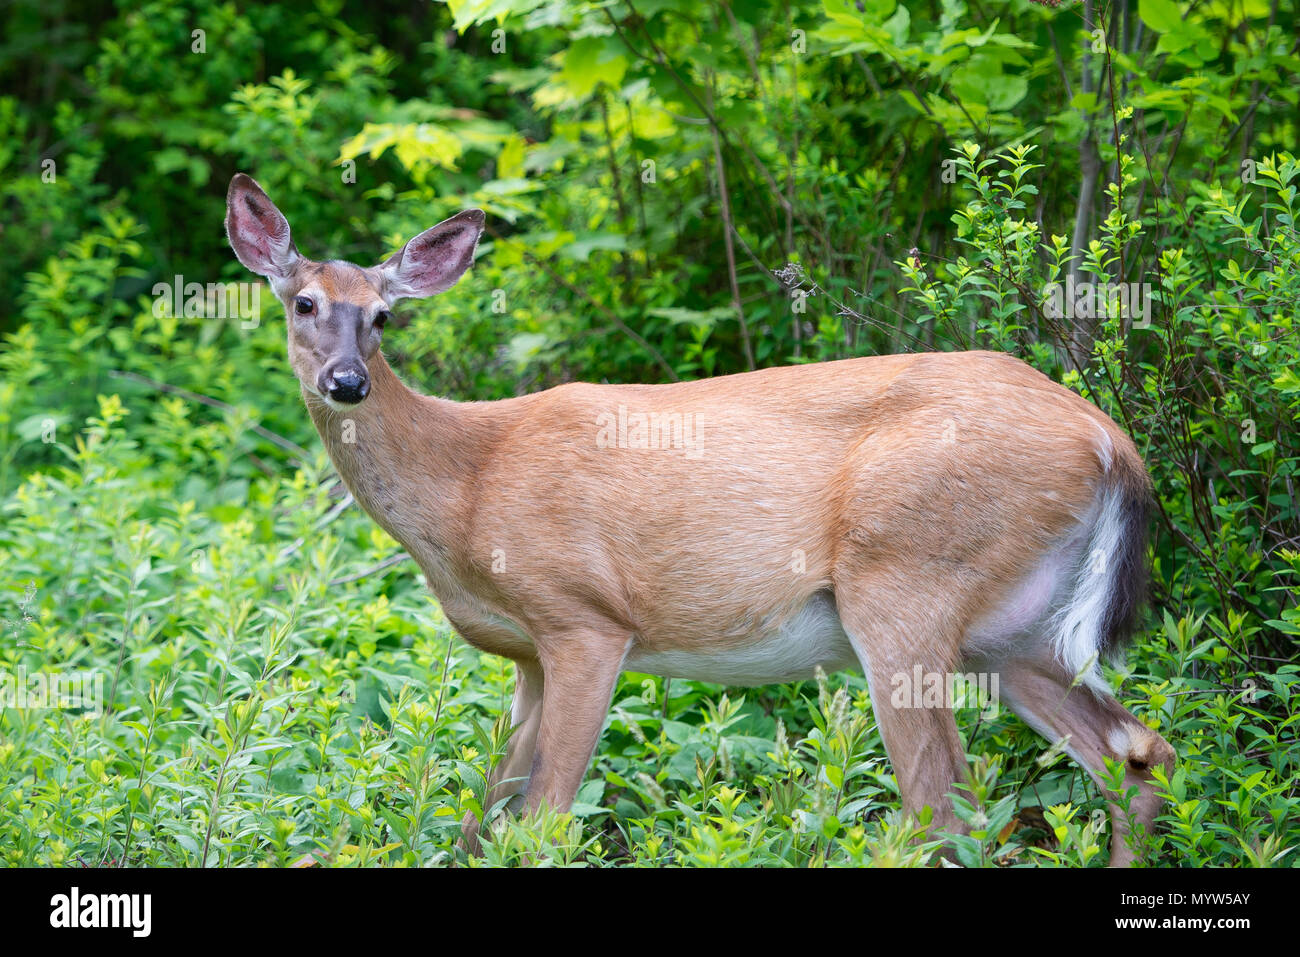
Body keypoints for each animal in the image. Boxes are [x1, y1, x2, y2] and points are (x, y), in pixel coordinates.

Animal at [223, 171, 1180, 868]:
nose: (348, 381)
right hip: (1013, 631)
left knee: (947, 807)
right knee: (1136, 754)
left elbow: (543, 819)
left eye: (383, 316)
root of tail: (1109, 439)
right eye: (303, 303)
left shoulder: (584, 618)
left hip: (905, 584)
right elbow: (479, 819)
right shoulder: (525, 653)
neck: (467, 485)